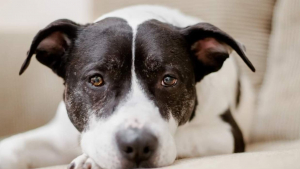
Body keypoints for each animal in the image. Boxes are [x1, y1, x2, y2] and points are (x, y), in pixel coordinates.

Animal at [0, 4, 255, 169]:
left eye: (168, 80)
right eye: (96, 80)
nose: (138, 144)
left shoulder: (227, 133)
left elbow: (181, 137)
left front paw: (91, 159)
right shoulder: (58, 137)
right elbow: (15, 146)